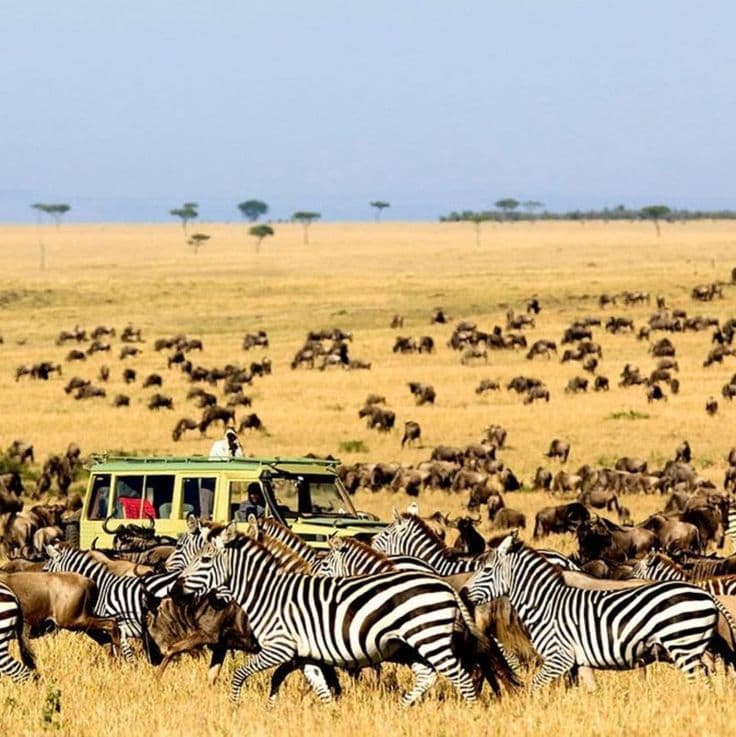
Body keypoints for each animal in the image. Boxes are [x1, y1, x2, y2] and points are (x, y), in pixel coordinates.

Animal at [177, 535, 518, 705]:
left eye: (204, 559)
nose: (178, 588)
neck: (267, 593)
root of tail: (445, 585)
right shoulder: (305, 654)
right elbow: (322, 690)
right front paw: (331, 717)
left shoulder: (280, 648)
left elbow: (239, 676)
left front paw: (234, 707)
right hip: (414, 645)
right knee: (429, 675)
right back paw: (402, 709)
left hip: (429, 639)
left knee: (461, 677)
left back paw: (470, 712)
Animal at [464, 533, 733, 688]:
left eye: (486, 570)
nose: (464, 592)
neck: (546, 603)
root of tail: (706, 595)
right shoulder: (578, 660)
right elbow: (585, 690)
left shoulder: (558, 657)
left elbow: (535, 687)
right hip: (693, 647)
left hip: (683, 646)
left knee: (700, 681)